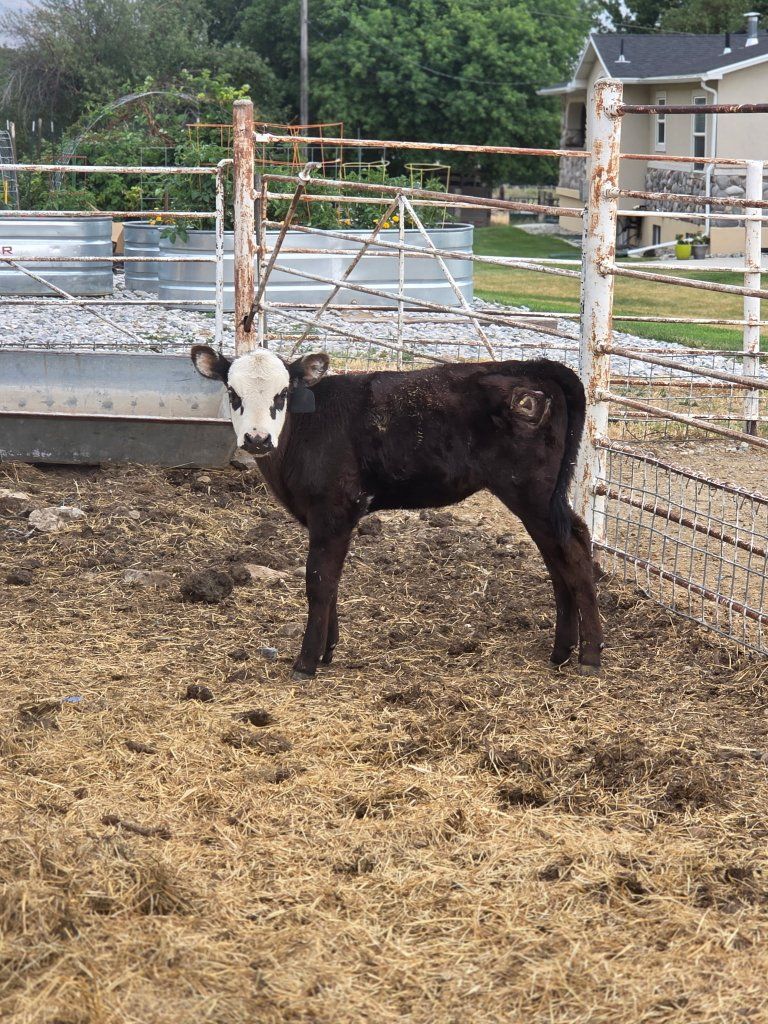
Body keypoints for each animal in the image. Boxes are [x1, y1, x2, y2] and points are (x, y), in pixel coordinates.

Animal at [191, 344, 603, 680]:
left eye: (283, 394)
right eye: (232, 392)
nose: (257, 439)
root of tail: (533, 366)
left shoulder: (335, 511)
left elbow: (319, 581)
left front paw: (306, 662)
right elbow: (331, 580)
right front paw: (327, 651)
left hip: (531, 492)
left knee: (573, 554)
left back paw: (590, 657)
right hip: (541, 500)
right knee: (562, 554)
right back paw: (562, 651)